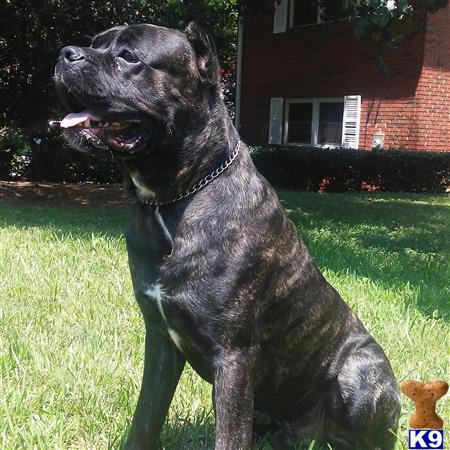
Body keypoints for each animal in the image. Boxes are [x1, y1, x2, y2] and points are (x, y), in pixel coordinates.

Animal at [53, 22, 400, 450]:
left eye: (129, 56)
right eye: (95, 43)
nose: (67, 53)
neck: (173, 200)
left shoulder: (233, 355)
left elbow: (228, 436)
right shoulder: (161, 342)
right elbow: (146, 416)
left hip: (362, 373)